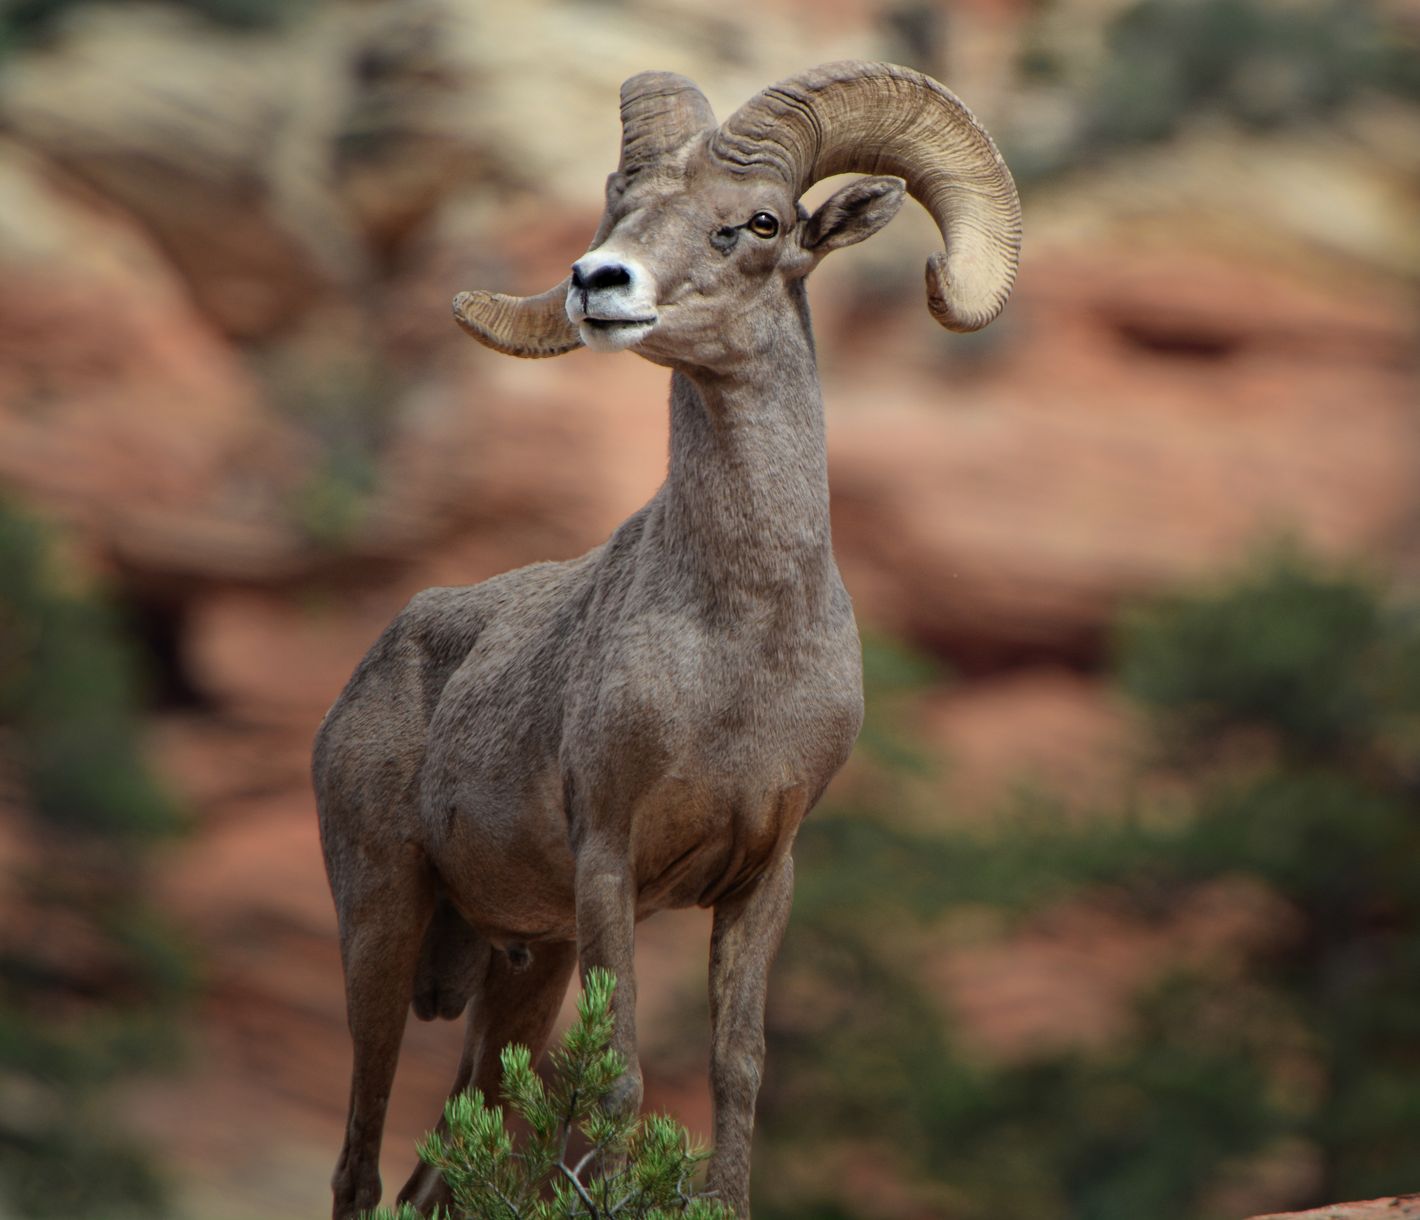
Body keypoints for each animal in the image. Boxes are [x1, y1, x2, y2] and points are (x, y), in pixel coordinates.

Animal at [314, 59, 1020, 1220]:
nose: (597, 282)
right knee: (360, 1160)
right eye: (621, 207)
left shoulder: (761, 877)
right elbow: (621, 1078)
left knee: (431, 1174)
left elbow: (738, 1068)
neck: (740, 652)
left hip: (523, 966)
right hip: (381, 923)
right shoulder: (609, 860)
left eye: (761, 222)